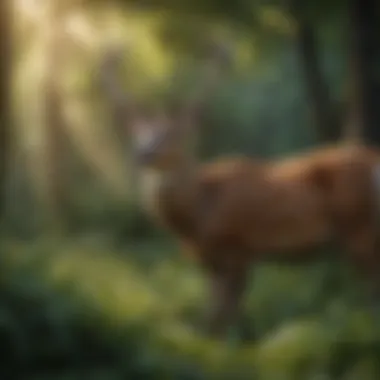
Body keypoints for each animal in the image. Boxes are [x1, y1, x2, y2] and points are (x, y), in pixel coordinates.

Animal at [98, 40, 380, 338]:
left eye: (174, 135)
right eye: (137, 135)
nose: (143, 154)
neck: (198, 217)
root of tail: (374, 159)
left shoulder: (237, 248)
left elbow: (223, 319)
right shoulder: (209, 261)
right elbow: (215, 319)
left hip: (359, 225)